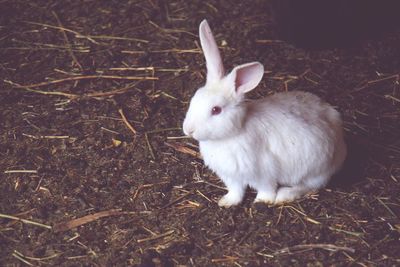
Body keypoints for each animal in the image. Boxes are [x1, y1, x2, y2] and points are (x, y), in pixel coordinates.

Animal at [183, 20, 346, 209]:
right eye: (194, 98)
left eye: (216, 110)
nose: (188, 130)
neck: (232, 133)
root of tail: (341, 144)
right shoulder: (232, 176)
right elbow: (236, 191)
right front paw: (227, 202)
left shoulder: (263, 173)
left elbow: (266, 189)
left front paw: (262, 202)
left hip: (314, 170)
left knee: (309, 186)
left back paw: (284, 195)